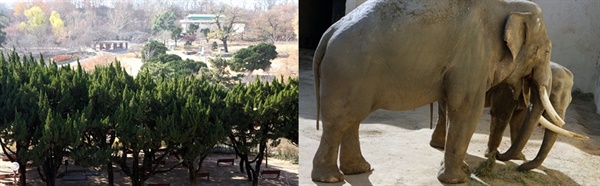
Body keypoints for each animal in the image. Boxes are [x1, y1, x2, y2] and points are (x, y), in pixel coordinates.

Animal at [428, 61, 588, 171]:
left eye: (570, 101)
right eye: (551, 99)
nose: (520, 167)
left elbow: (518, 120)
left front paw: (518, 157)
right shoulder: (506, 90)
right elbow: (502, 114)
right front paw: (493, 156)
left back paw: (438, 145)